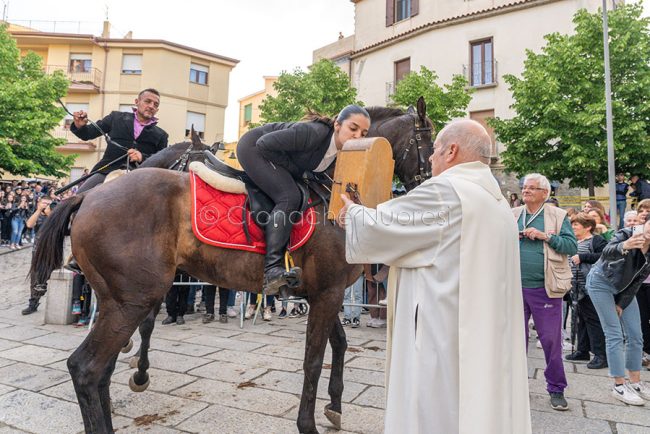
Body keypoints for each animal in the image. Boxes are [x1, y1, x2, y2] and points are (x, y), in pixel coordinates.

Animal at [33, 99, 432, 434]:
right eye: (426, 144)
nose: (426, 185)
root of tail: (88, 196)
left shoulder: (323, 292)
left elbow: (340, 343)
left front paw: (334, 406)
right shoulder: (328, 291)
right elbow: (314, 359)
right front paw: (308, 424)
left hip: (119, 299)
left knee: (101, 370)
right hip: (130, 299)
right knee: (86, 369)